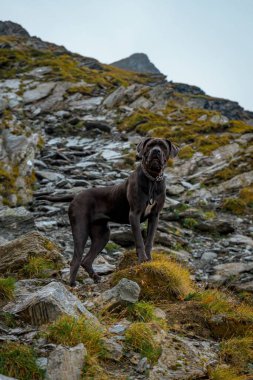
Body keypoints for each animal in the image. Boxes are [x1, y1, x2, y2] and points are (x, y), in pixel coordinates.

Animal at [39, 138, 179, 286]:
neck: (152, 179)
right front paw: (142, 260)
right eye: (150, 145)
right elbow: (140, 241)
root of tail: (75, 196)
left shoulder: (154, 216)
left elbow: (149, 240)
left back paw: (96, 278)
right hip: (80, 230)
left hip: (102, 234)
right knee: (75, 259)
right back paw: (72, 284)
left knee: (86, 260)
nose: (156, 151)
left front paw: (149, 260)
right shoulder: (134, 215)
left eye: (163, 146)